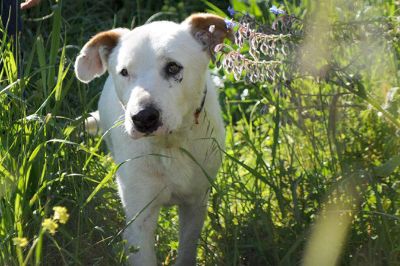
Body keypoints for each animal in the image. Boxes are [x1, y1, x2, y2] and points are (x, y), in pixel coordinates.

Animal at [74, 13, 231, 264]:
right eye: (124, 72)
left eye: (173, 67)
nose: (143, 117)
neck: (170, 145)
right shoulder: (139, 218)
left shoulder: (195, 204)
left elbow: (187, 249)